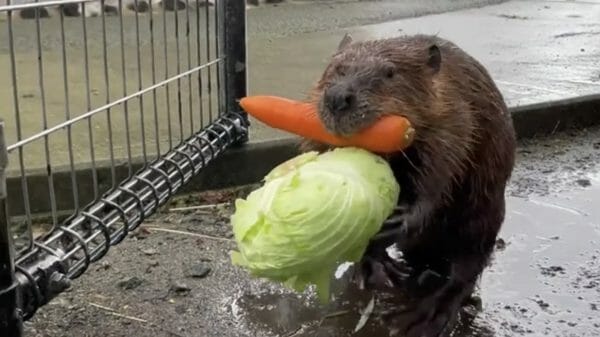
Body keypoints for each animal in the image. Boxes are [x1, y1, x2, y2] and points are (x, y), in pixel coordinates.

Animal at [302, 34, 516, 336]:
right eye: (338, 68)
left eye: (390, 72)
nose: (337, 98)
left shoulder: (453, 118)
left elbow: (440, 175)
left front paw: (398, 220)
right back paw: (381, 270)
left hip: (486, 210)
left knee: (467, 266)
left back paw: (420, 317)